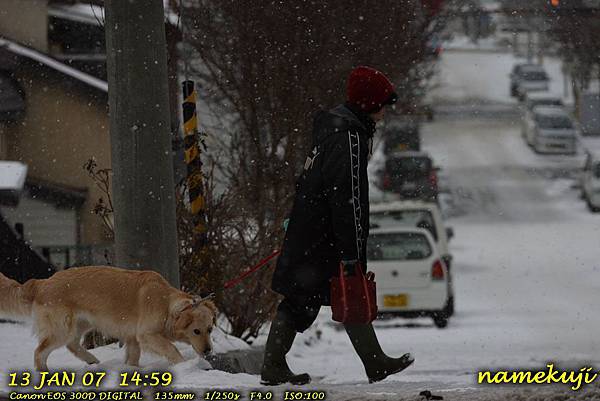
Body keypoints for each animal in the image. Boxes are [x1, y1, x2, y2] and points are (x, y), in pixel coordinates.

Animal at [0, 264, 216, 370]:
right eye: (196, 331)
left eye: (210, 329)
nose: (208, 351)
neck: (166, 302)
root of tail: (42, 283)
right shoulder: (146, 334)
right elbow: (170, 348)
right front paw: (183, 365)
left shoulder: (132, 337)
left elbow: (133, 356)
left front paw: (132, 370)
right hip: (61, 328)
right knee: (40, 352)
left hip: (81, 324)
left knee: (72, 345)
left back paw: (92, 361)